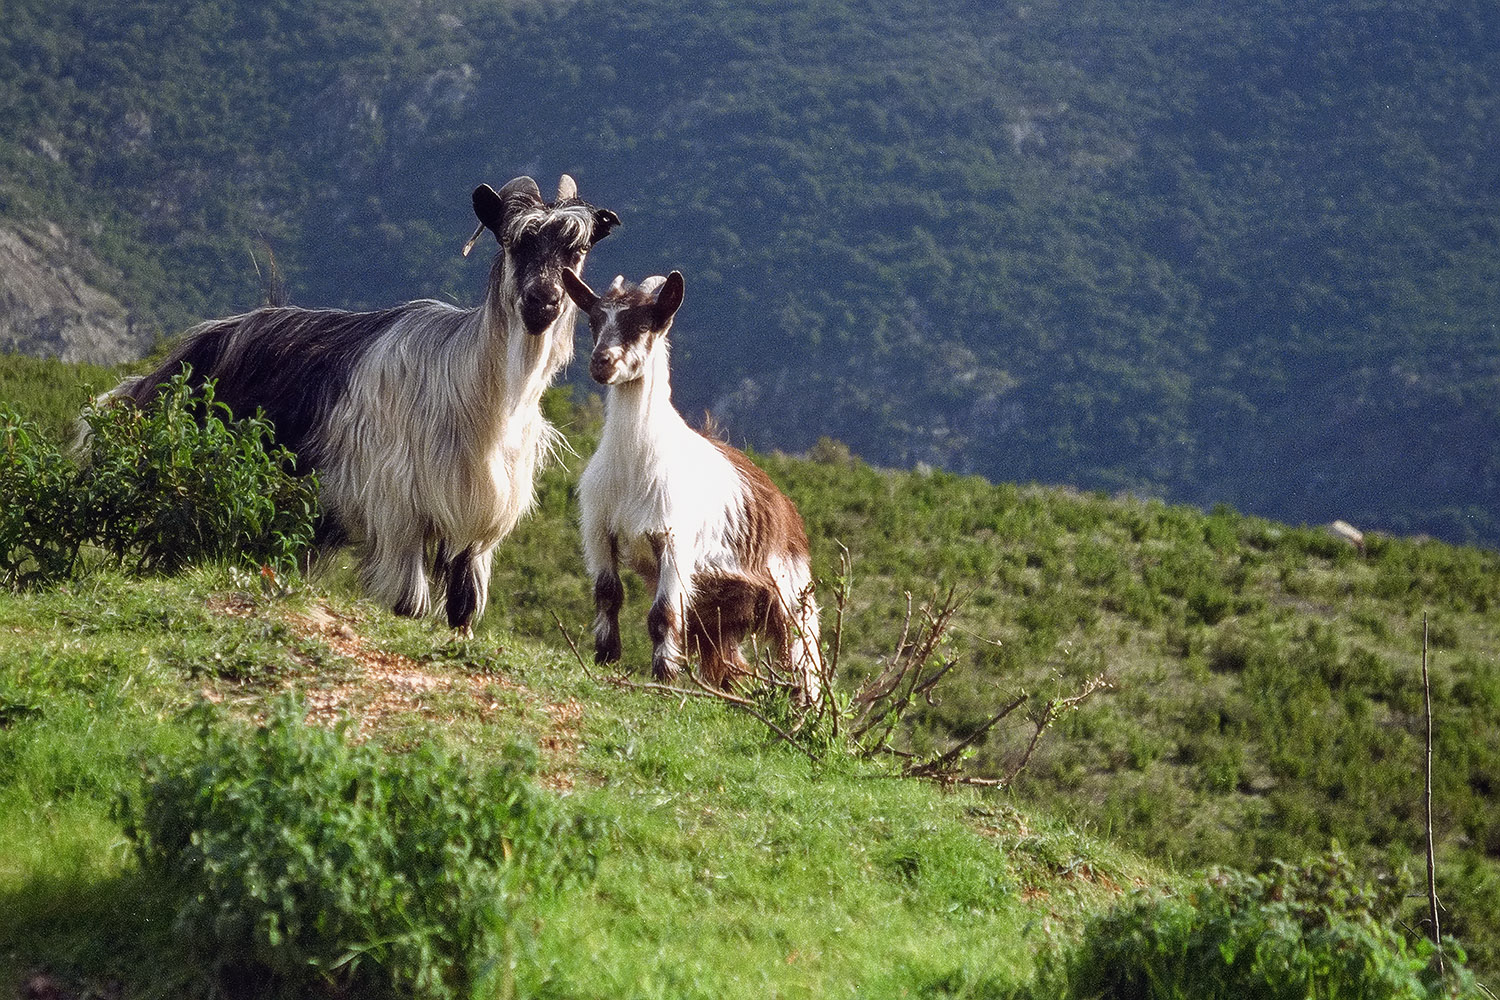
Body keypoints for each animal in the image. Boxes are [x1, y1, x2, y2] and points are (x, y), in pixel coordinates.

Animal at [105, 175, 618, 632]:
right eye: (515, 243)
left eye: (577, 249)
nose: (543, 301)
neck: (481, 396)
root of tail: (170, 365)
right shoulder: (398, 511)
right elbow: (409, 605)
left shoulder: (477, 523)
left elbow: (463, 608)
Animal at [561, 269, 822, 701]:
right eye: (594, 321)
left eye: (644, 324)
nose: (601, 363)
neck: (636, 464)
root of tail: (785, 507)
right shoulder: (599, 531)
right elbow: (608, 595)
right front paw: (605, 659)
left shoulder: (673, 541)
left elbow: (662, 614)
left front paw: (664, 677)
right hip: (718, 608)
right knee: (728, 660)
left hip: (791, 592)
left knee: (803, 654)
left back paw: (806, 703)